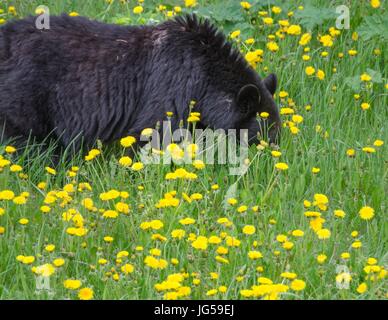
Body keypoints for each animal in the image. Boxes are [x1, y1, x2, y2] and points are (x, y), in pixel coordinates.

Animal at [0, 13, 278, 151]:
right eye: (264, 135)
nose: (272, 156)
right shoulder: (172, 86)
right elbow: (152, 130)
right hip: (27, 94)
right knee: (26, 138)